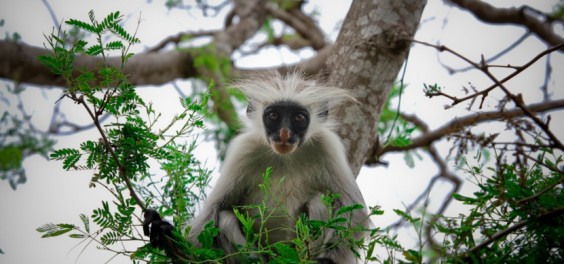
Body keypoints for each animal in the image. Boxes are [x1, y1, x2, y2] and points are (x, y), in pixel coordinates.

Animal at [187, 71, 368, 262]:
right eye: (273, 116)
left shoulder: (326, 146)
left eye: (299, 118)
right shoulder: (244, 150)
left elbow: (355, 213)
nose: (284, 134)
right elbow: (210, 214)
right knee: (225, 218)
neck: (285, 157)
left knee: (319, 201)